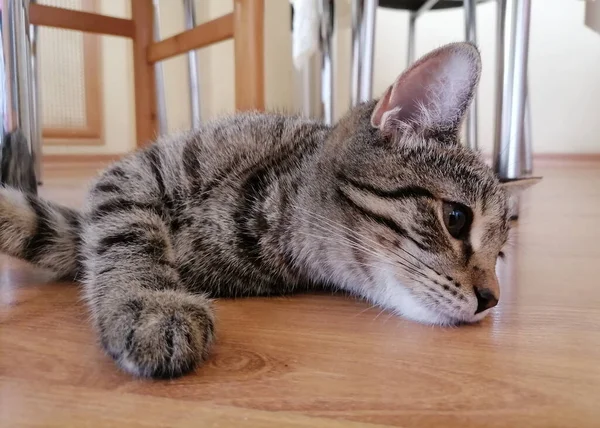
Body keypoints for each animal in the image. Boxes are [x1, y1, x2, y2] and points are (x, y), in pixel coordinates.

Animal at [0, 42, 540, 378]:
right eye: (456, 219)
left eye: (501, 255)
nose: (492, 300)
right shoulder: (131, 175)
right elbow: (127, 234)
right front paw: (152, 303)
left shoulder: (81, 229)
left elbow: (49, 227)